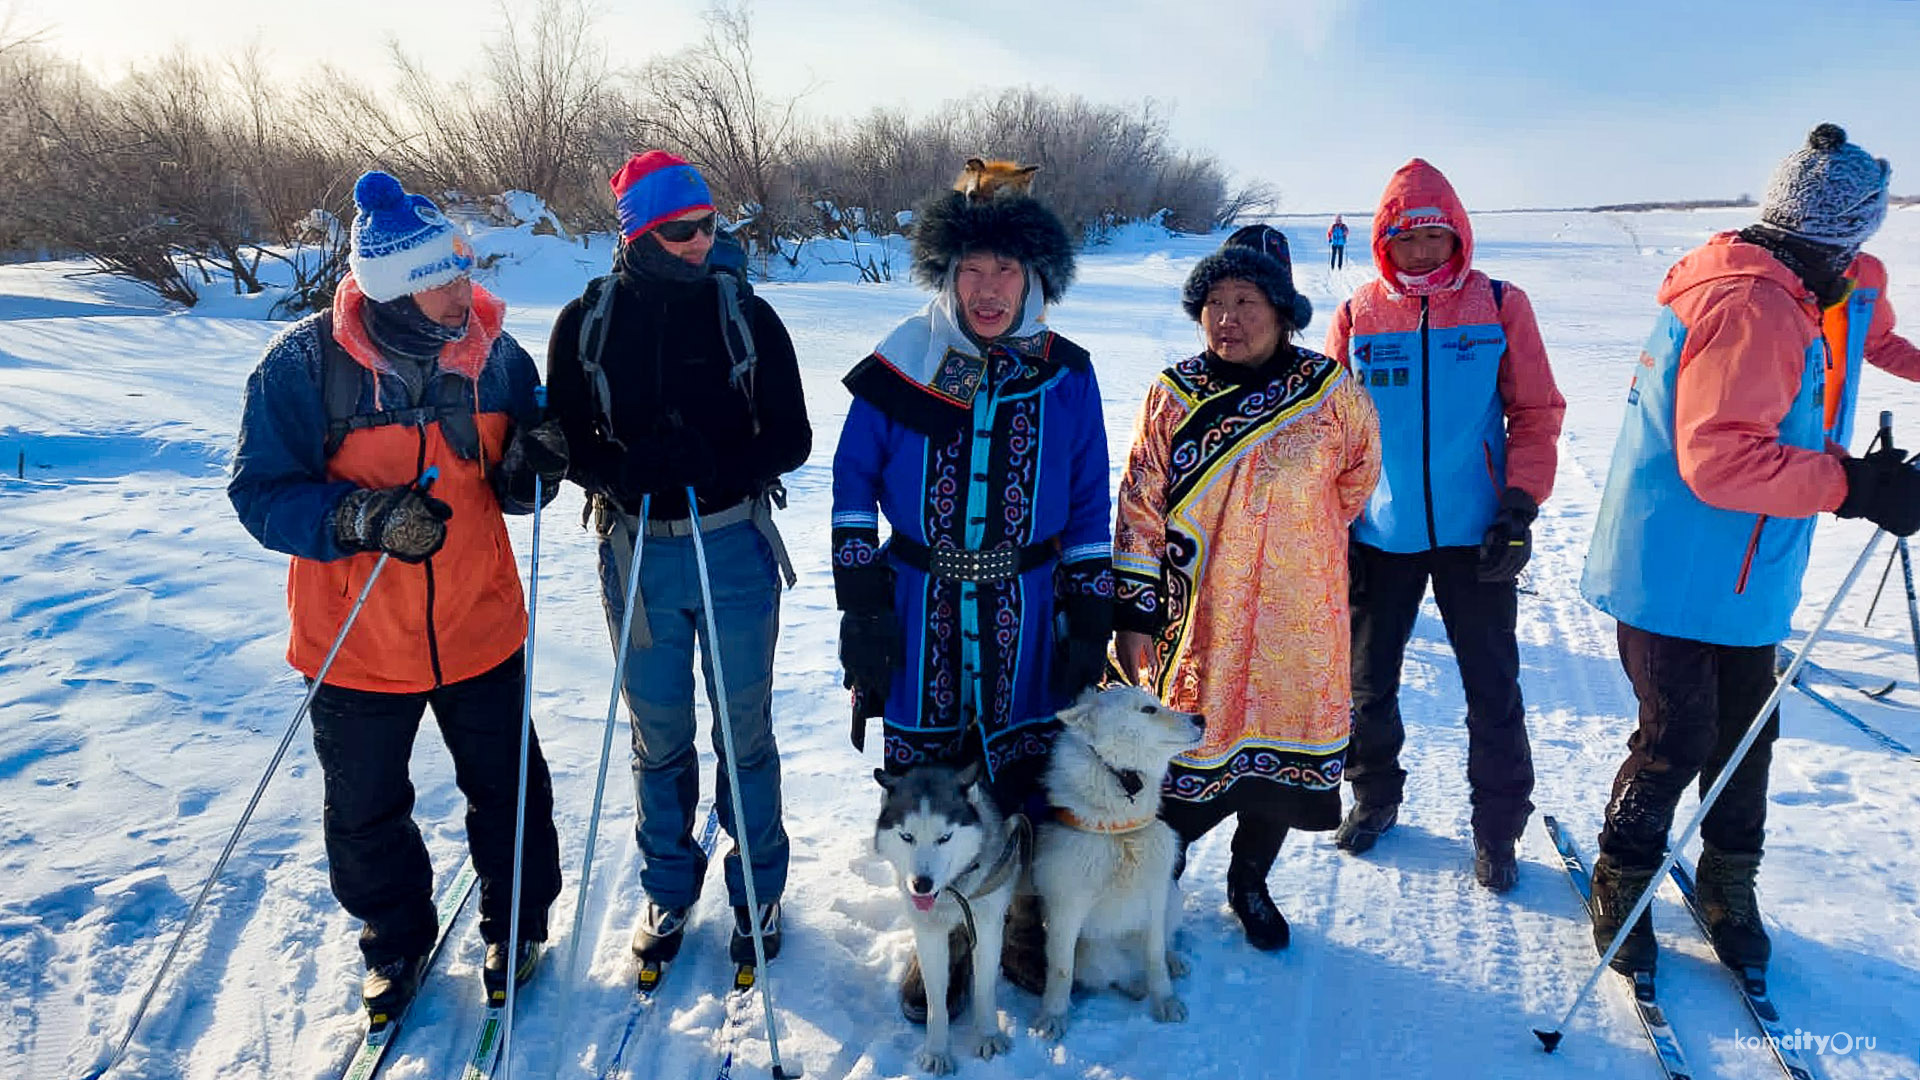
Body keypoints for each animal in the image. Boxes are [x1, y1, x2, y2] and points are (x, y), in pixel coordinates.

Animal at [875, 757, 1029, 1068]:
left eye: (945, 838)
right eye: (906, 836)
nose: (921, 884)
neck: (953, 890)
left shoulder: (986, 923)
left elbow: (984, 989)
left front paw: (988, 1035)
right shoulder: (929, 931)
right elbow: (936, 1000)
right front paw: (936, 1051)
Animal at [1036, 680, 1198, 1037]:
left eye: (1157, 703)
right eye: (1149, 709)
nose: (1202, 718)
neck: (1118, 829)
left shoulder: (1155, 899)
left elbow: (1155, 957)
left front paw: (1165, 1001)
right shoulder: (1066, 910)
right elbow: (1060, 970)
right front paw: (1053, 1016)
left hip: (1173, 897)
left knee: (1165, 943)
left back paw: (1172, 962)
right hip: (1092, 954)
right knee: (1114, 975)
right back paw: (1135, 984)